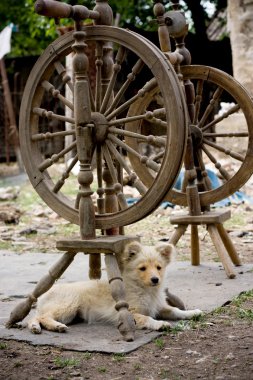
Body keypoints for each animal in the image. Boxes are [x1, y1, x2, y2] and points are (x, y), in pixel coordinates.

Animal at [27, 242, 202, 334]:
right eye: (142, 268)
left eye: (159, 267)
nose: (155, 280)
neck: (145, 290)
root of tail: (42, 295)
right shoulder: (128, 313)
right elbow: (146, 318)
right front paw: (160, 324)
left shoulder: (159, 306)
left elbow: (176, 310)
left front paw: (192, 313)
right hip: (68, 305)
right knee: (42, 316)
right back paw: (55, 326)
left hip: (70, 313)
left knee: (36, 317)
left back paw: (38, 327)